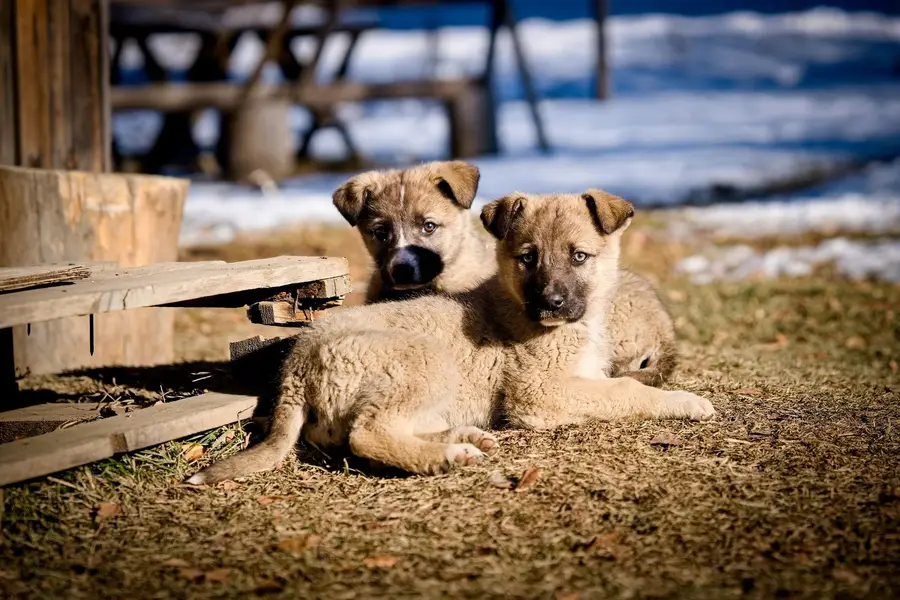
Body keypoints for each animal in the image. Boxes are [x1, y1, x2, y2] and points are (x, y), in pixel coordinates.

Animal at [186, 190, 712, 486]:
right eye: (527, 258)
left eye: (579, 256)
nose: (551, 304)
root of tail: (296, 366)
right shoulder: (540, 394)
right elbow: (627, 389)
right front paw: (686, 401)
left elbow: (618, 385)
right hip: (426, 359)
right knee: (367, 435)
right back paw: (450, 455)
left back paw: (461, 436)